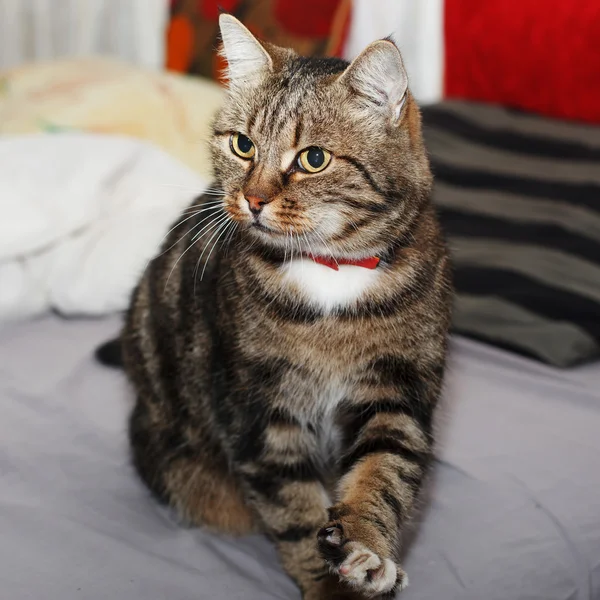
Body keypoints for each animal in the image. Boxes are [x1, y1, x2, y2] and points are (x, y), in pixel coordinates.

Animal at [118, 14, 450, 600]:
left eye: (313, 159)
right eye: (243, 145)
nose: (251, 199)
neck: (330, 272)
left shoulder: (397, 389)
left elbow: (384, 472)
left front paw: (366, 551)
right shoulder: (260, 412)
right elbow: (294, 511)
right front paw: (328, 584)